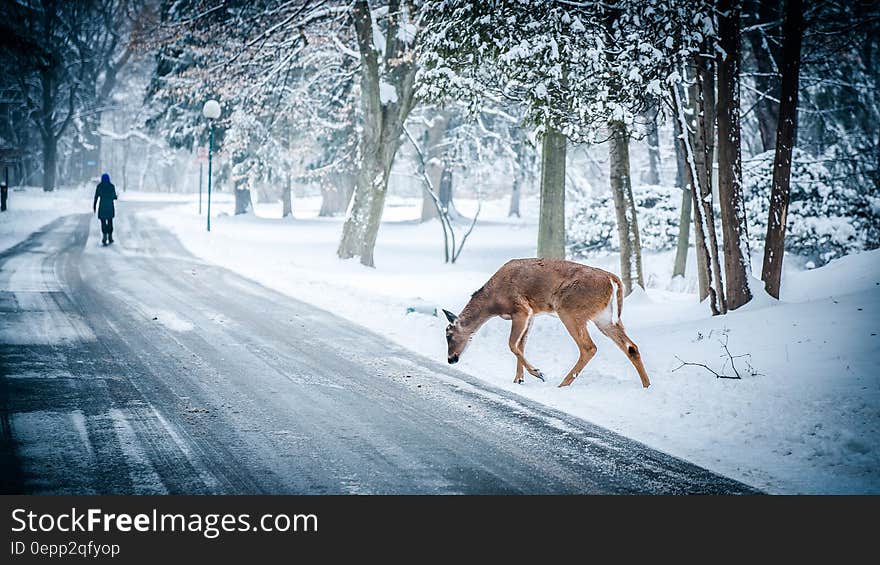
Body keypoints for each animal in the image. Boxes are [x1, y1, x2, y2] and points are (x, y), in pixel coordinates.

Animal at [444, 258, 648, 388]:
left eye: (449, 335)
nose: (450, 359)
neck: (493, 302)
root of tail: (612, 279)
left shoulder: (522, 309)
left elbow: (512, 344)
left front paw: (537, 373)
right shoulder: (532, 314)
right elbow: (521, 345)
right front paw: (518, 379)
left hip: (569, 309)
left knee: (589, 347)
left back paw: (562, 384)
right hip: (604, 317)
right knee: (631, 347)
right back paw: (647, 385)